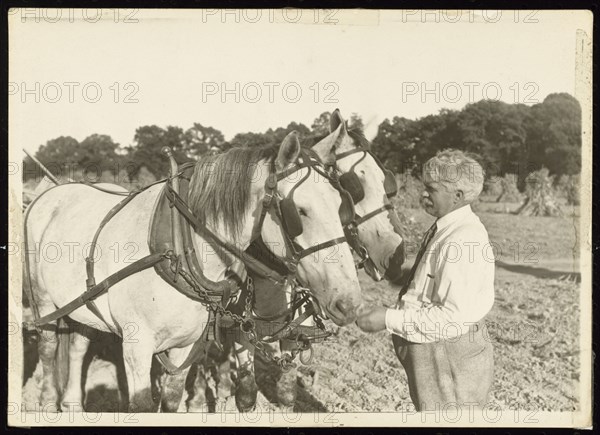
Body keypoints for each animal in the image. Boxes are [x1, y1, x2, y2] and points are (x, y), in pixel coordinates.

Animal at [24, 133, 360, 412]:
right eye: (299, 212)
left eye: (341, 205)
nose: (349, 303)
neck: (182, 248)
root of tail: (54, 190)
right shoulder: (136, 348)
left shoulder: (186, 346)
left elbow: (173, 399)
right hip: (42, 298)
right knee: (49, 347)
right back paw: (47, 402)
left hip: (83, 304)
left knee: (78, 346)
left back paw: (72, 404)